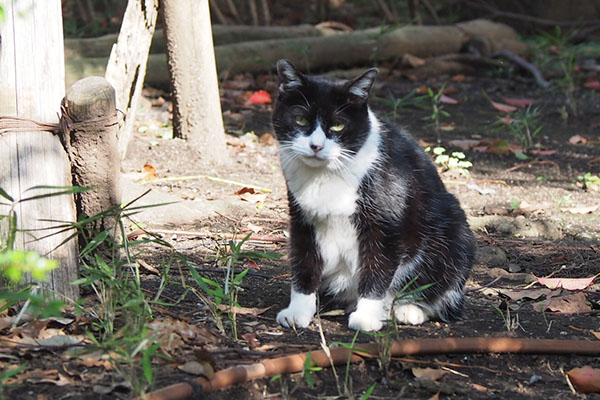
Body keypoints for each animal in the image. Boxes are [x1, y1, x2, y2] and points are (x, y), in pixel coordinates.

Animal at [274, 59, 476, 332]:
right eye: (301, 119)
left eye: (338, 125)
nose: (316, 146)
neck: (327, 175)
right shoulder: (302, 219)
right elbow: (303, 264)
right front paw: (298, 311)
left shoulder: (385, 223)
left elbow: (378, 268)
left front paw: (367, 317)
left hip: (456, 233)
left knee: (443, 294)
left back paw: (406, 310)